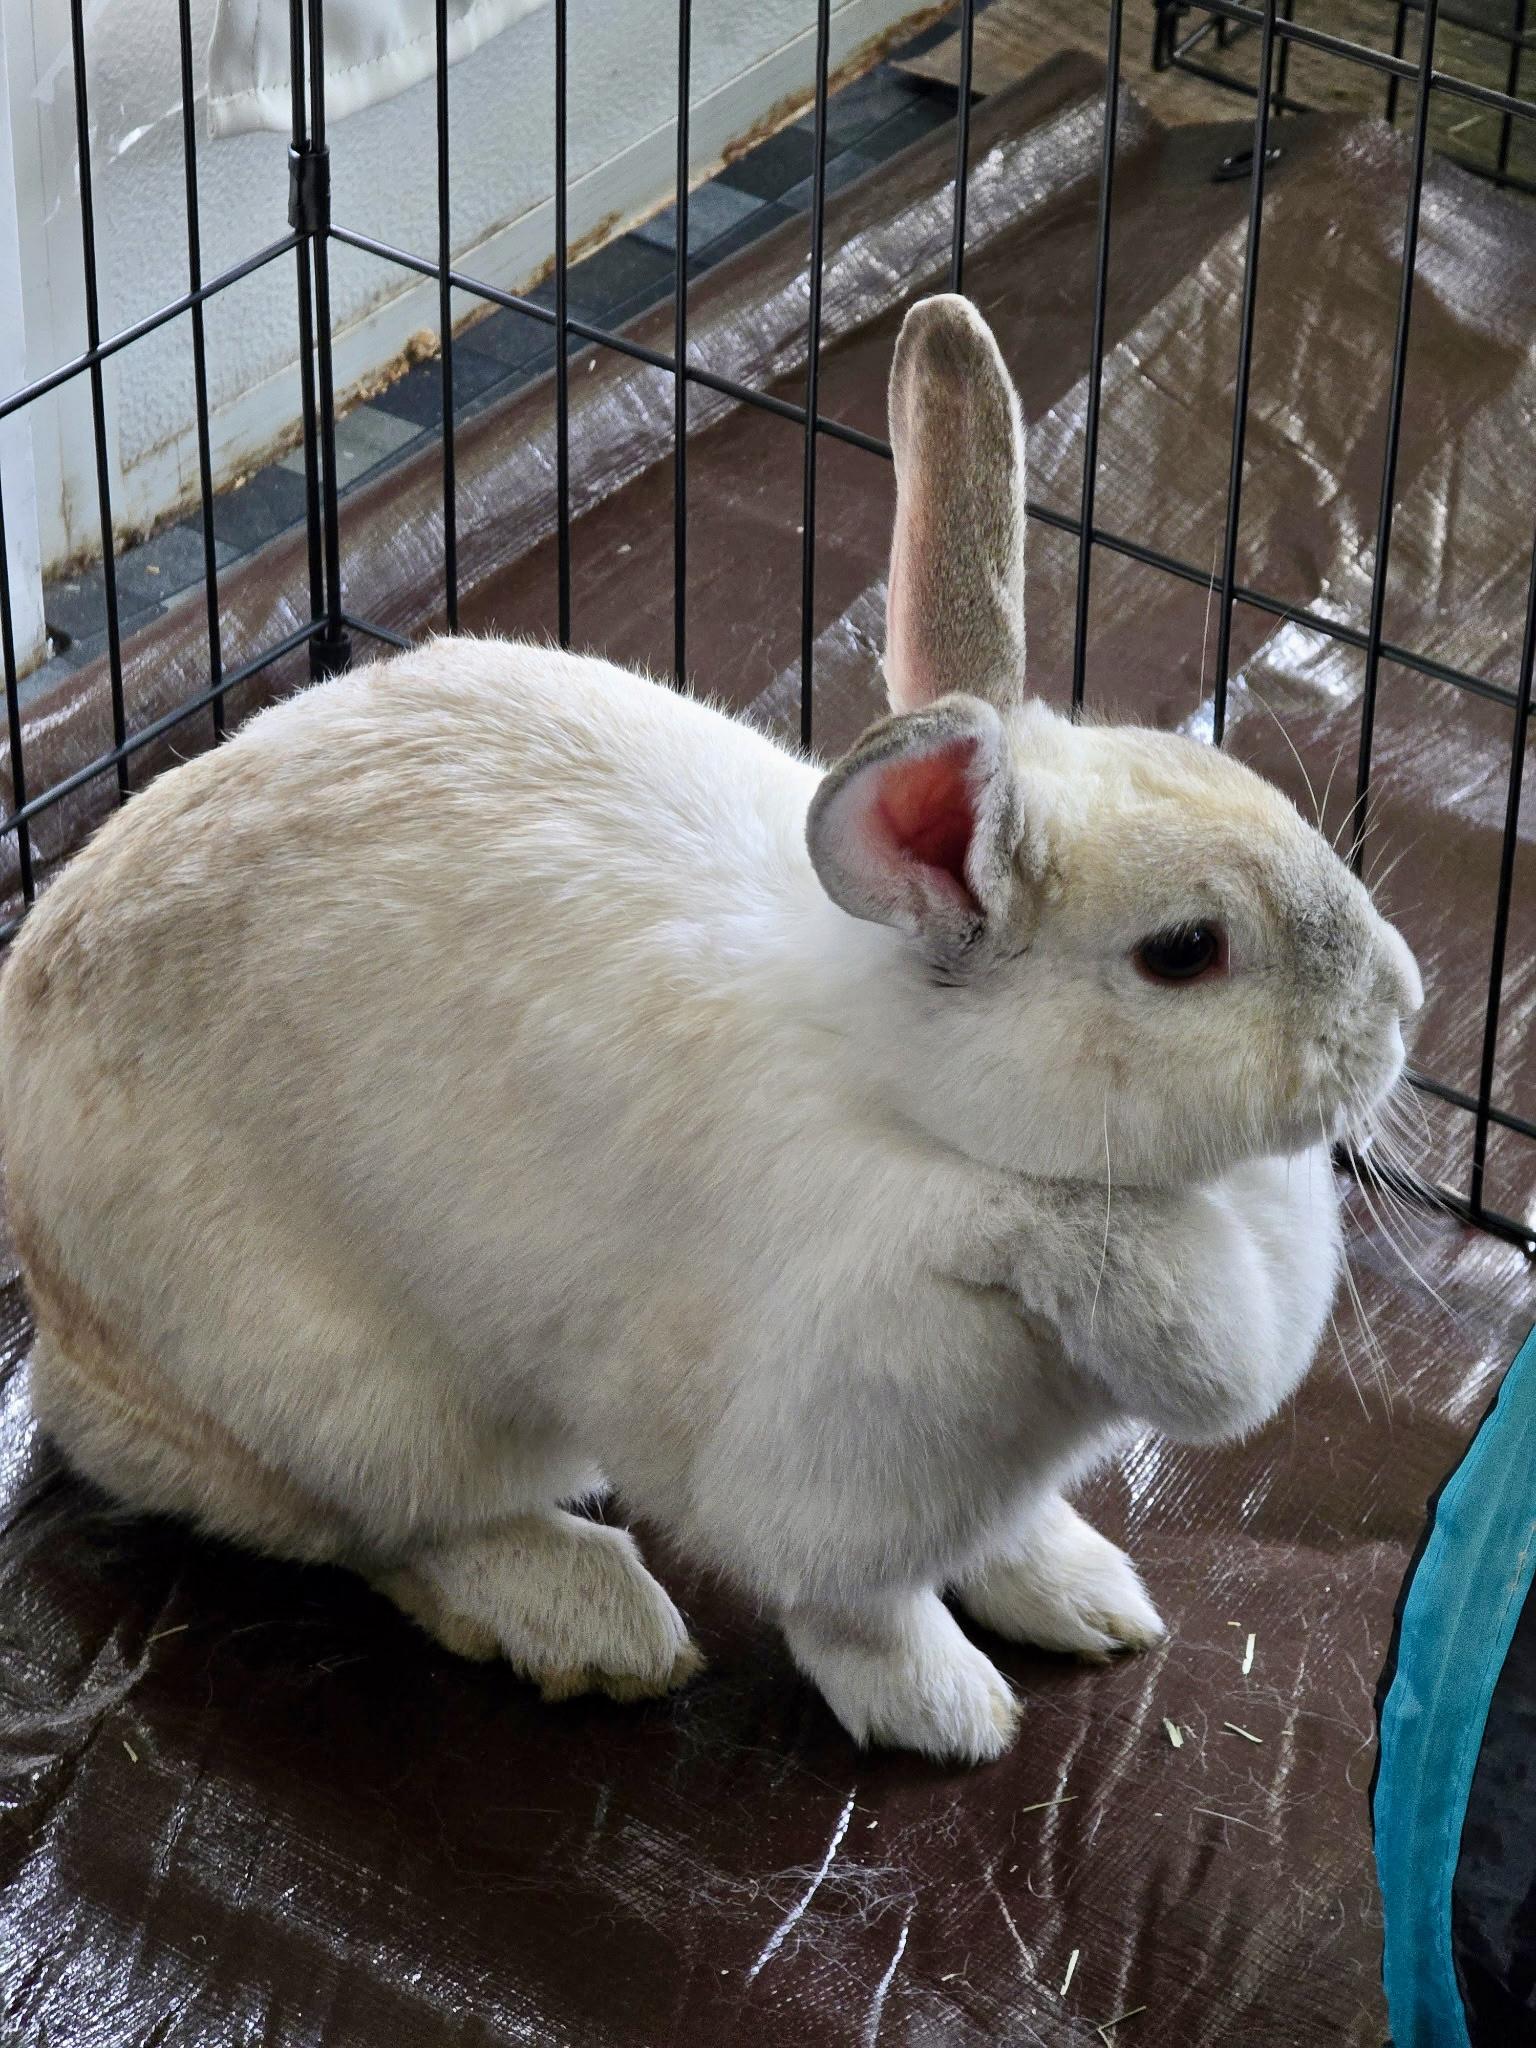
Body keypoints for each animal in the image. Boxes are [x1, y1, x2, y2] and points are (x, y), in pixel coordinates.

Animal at [0, 294, 1421, 1764]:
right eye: (1184, 953)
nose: (1404, 1007)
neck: (927, 1117)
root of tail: (58, 1335)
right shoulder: (837, 1477)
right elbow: (862, 1614)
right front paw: (950, 1716)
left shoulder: (989, 1475)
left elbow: (1013, 1535)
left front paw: (1087, 1599)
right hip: (344, 1399)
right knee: (380, 1528)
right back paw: (590, 1619)